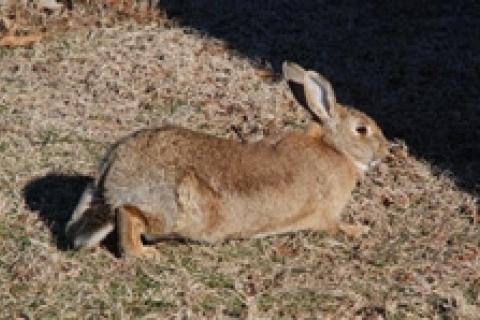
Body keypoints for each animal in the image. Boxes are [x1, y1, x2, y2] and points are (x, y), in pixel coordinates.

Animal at [65, 62, 392, 258]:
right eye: (362, 130)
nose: (385, 151)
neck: (334, 148)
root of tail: (114, 171)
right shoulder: (327, 214)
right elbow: (337, 227)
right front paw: (360, 231)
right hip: (172, 209)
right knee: (129, 216)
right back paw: (143, 254)